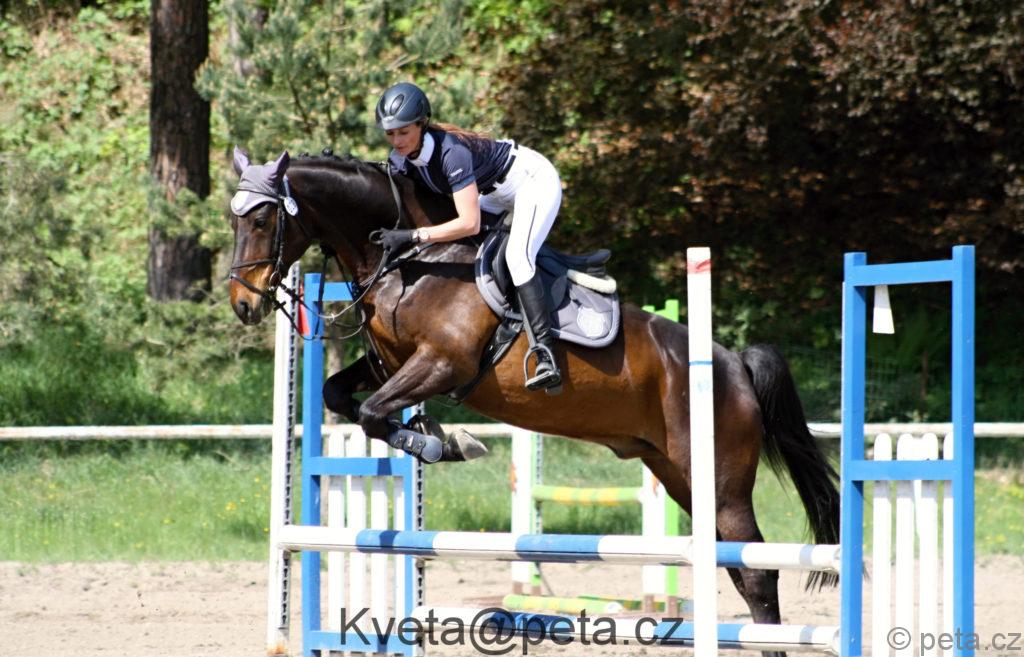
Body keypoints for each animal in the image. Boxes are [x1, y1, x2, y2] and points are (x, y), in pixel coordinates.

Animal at [226, 148, 840, 654]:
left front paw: (447, 444)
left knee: (756, 571)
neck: (413, 265)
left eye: (260, 220)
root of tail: (734, 363)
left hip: (721, 484)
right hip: (678, 475)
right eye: (234, 220)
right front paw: (434, 435)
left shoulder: (443, 365)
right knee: (737, 567)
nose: (242, 304)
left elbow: (377, 412)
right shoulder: (390, 366)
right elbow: (341, 395)